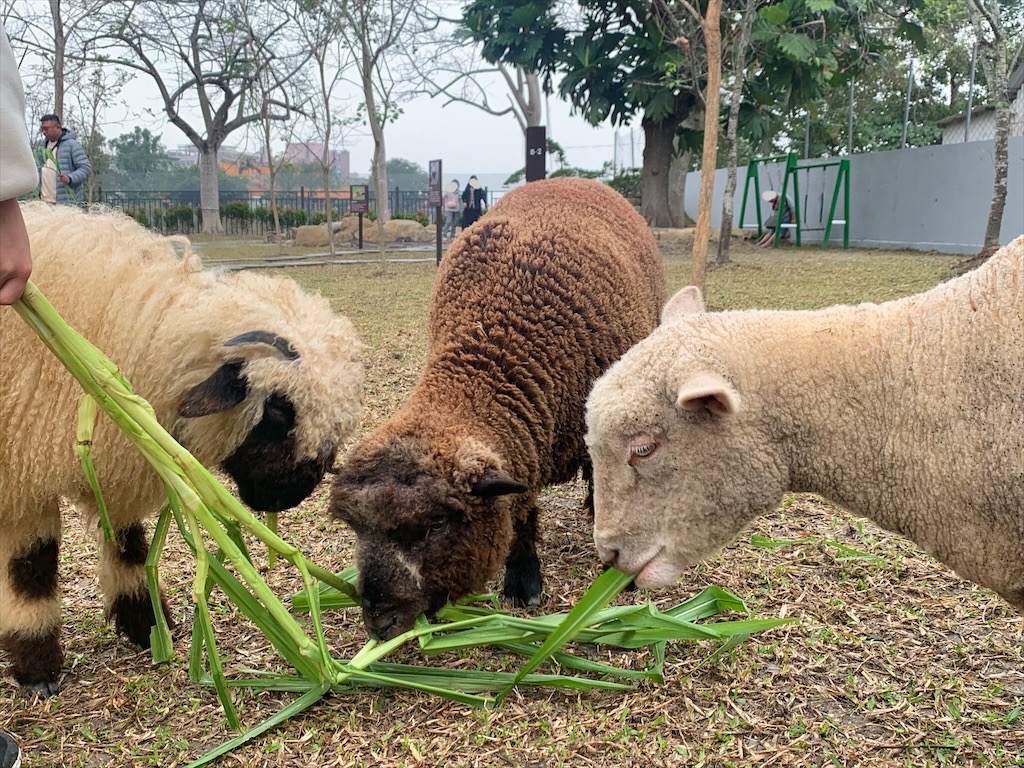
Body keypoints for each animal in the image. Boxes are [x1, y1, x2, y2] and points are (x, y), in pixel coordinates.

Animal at [0, 201, 364, 696]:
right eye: (278, 409)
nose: (292, 497)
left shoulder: (124, 451)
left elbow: (129, 547)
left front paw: (148, 625)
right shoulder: (23, 471)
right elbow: (31, 567)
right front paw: (37, 667)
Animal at [331, 177, 667, 638]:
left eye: (437, 524)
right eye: (358, 530)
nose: (379, 624)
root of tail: (568, 180)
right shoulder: (521, 453)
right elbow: (521, 514)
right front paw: (522, 578)